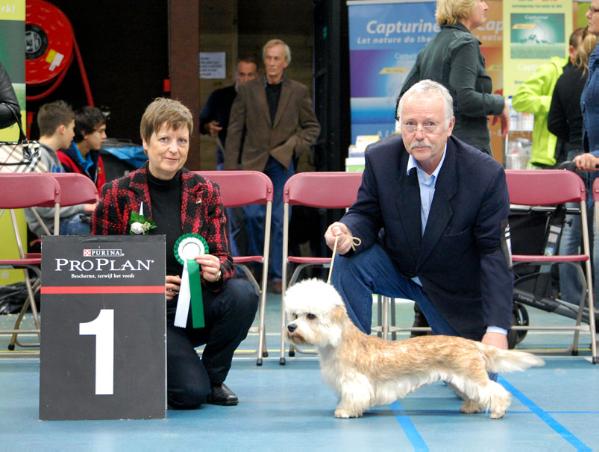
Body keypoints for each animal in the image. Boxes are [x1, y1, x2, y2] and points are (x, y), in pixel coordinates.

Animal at [284, 278, 548, 420]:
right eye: (295, 314)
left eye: (311, 316)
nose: (290, 327)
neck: (338, 342)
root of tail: (471, 343)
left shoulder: (354, 383)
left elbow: (353, 399)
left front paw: (344, 411)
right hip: (461, 380)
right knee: (477, 394)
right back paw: (470, 407)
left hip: (471, 376)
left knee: (495, 391)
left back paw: (498, 411)